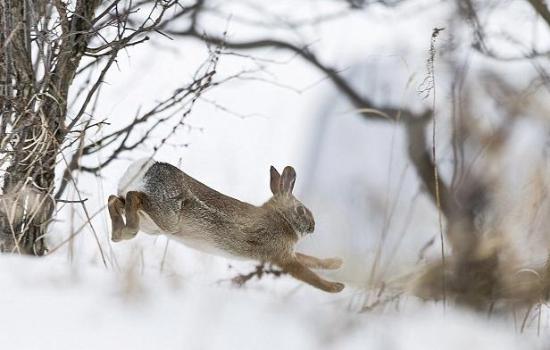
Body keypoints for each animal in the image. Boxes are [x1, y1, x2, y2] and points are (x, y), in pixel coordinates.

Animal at [108, 159, 344, 292]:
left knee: (115, 199)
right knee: (133, 196)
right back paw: (126, 231)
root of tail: (145, 171)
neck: (280, 216)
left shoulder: (285, 253)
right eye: (302, 210)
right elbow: (307, 273)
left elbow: (311, 260)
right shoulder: (280, 256)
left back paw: (118, 233)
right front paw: (336, 288)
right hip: (167, 217)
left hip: (151, 223)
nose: (313, 226)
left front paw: (336, 263)